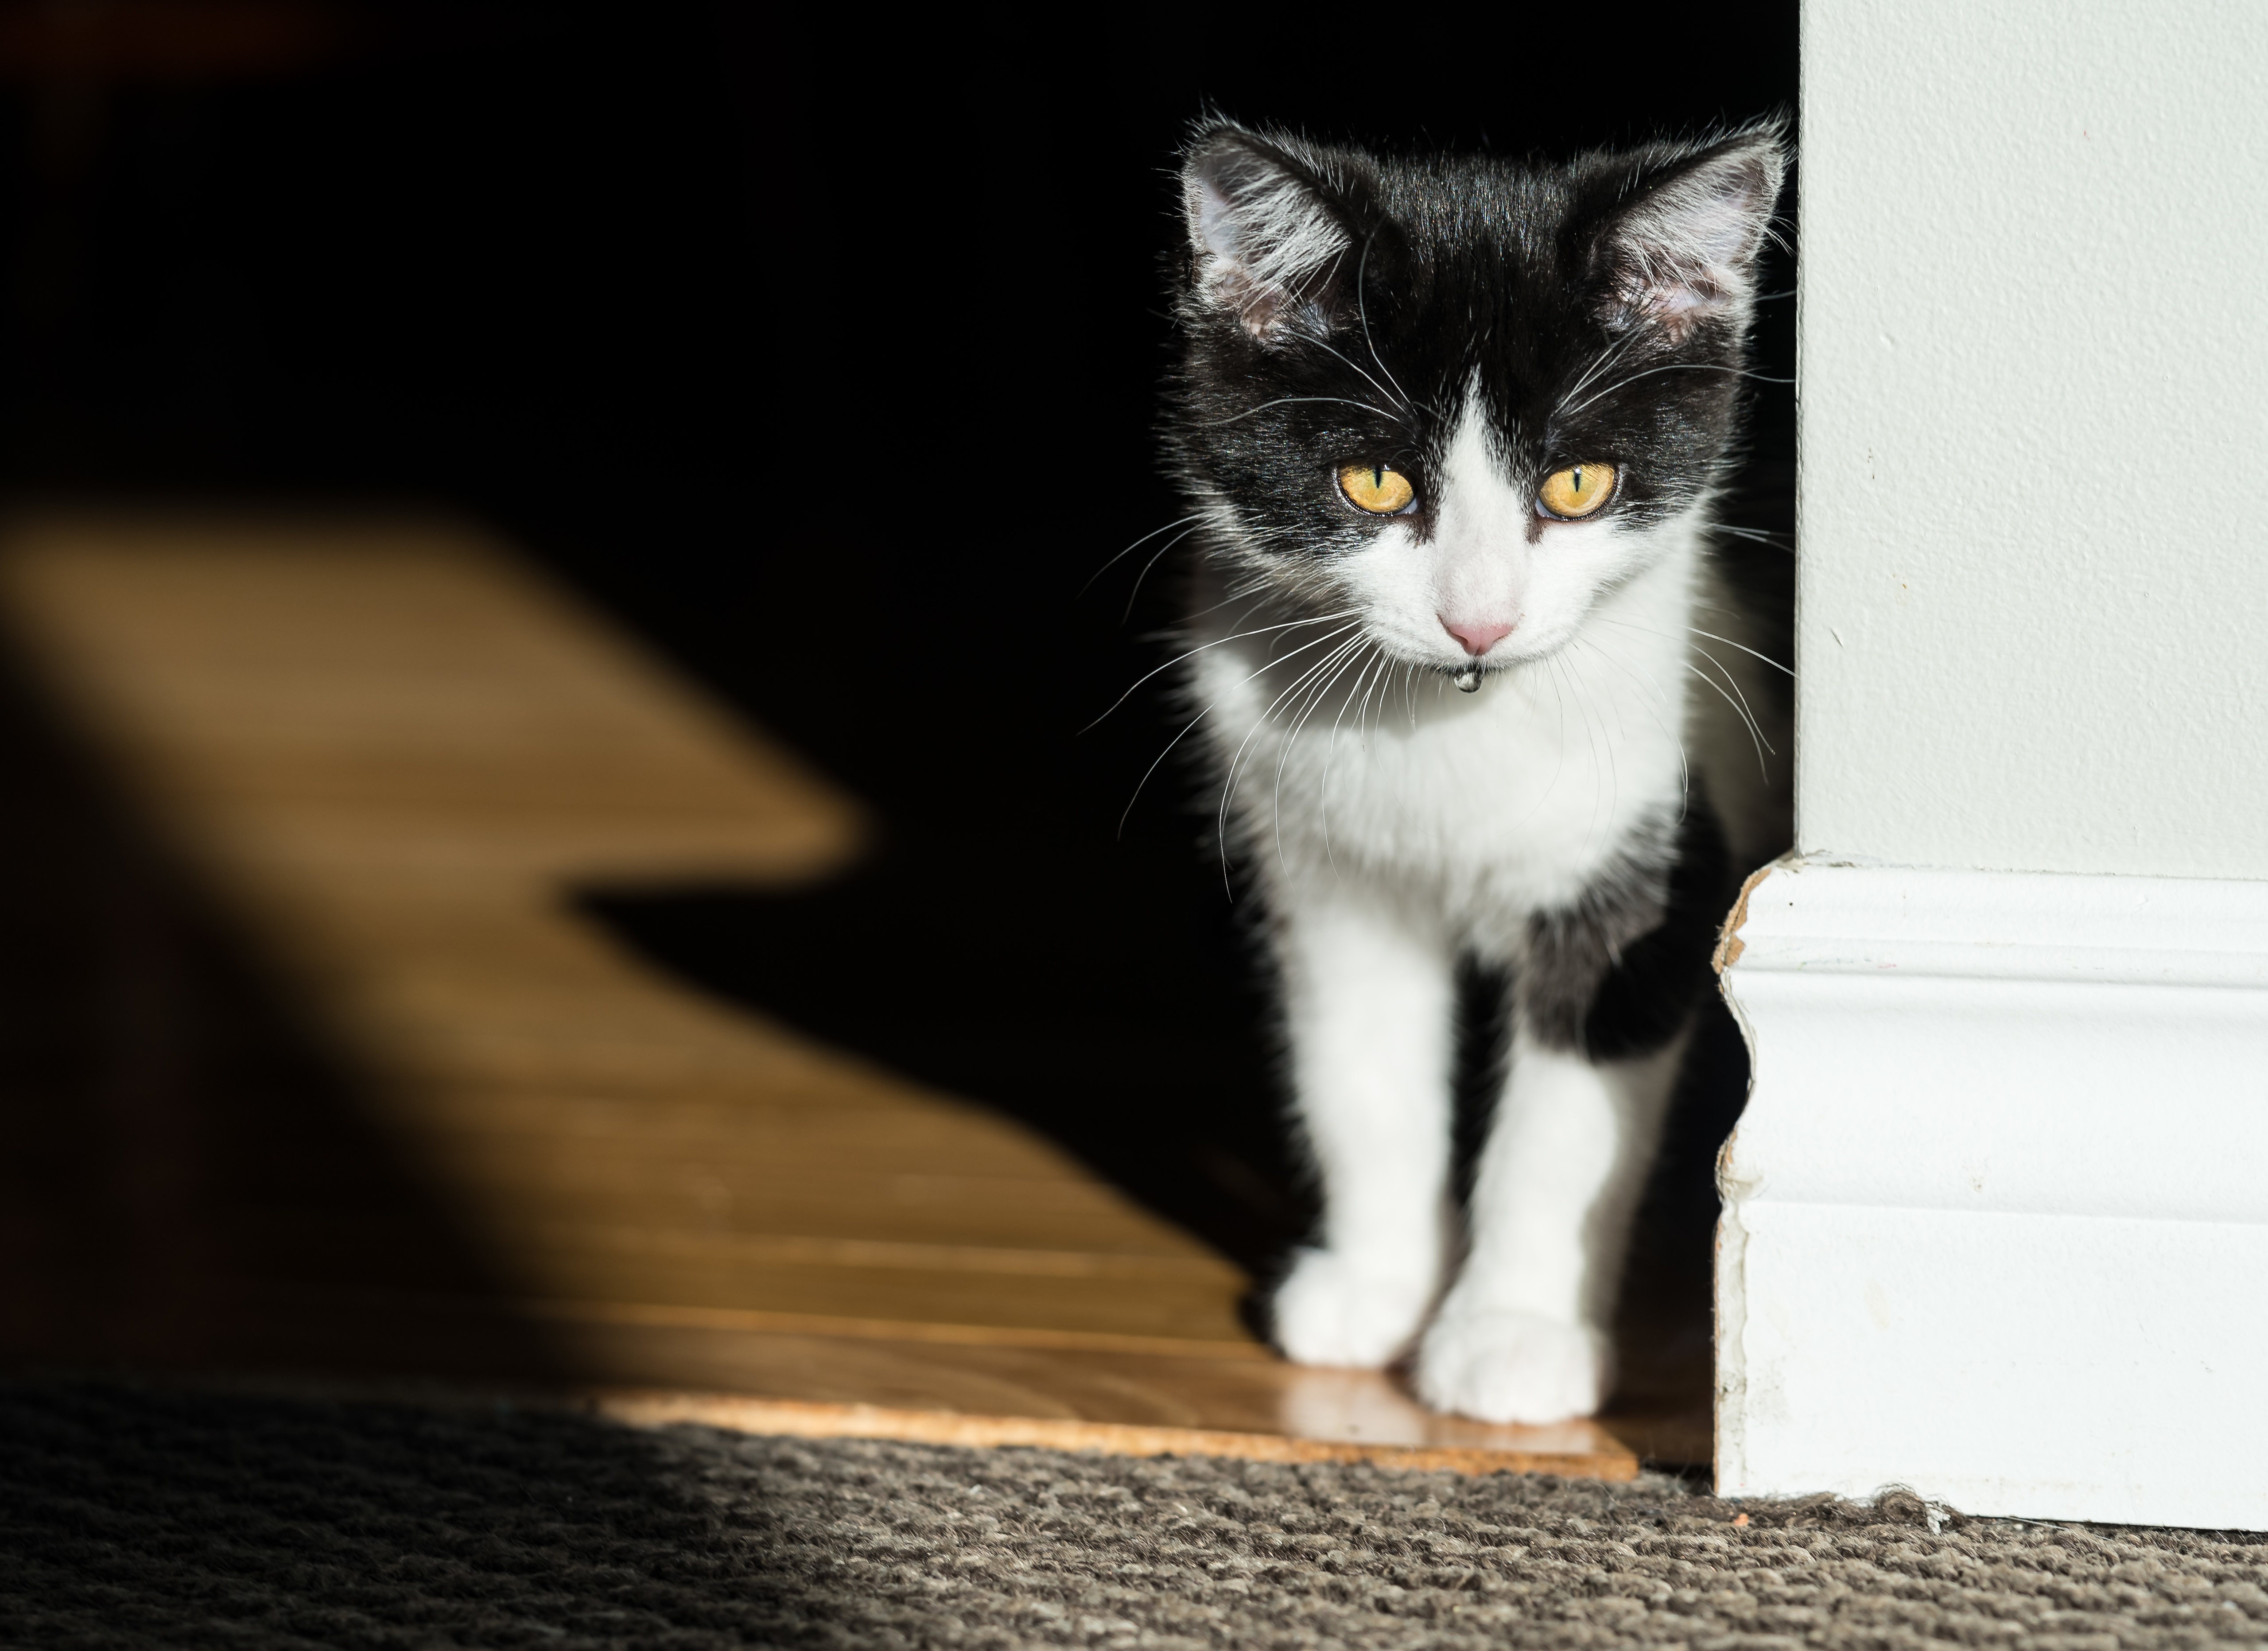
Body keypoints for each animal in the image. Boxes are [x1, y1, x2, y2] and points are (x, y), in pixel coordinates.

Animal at [1170, 122, 1787, 1424]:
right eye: (1373, 483)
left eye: (1576, 485)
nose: (1479, 621)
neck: (1452, 734)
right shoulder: (1327, 871)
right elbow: (1359, 1072)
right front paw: (1377, 1283)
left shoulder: (1646, 846)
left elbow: (1562, 1124)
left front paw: (1512, 1333)